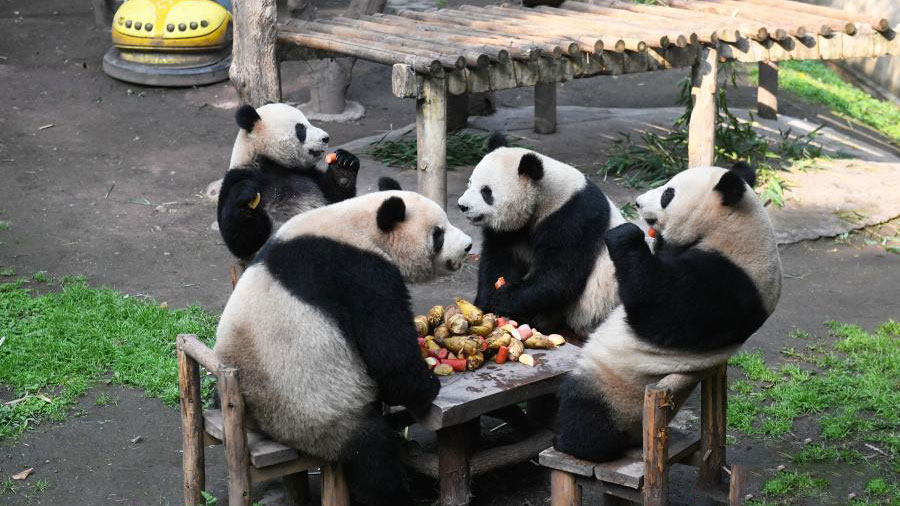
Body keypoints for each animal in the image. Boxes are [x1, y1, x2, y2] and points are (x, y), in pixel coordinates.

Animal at [214, 181, 474, 506]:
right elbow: (388, 353)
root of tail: (260, 425)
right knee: (372, 455)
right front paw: (427, 385)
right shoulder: (361, 273)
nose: (468, 245)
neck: (358, 225)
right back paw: (397, 494)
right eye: (438, 233)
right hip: (319, 415)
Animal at [218, 103, 362, 260]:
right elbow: (243, 242)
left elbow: (337, 200)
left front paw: (344, 166)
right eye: (301, 128)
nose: (326, 138)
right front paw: (244, 194)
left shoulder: (309, 174)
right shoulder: (238, 177)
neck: (273, 164)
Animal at [458, 134, 624, 336]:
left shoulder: (575, 217)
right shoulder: (510, 231)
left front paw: (502, 299)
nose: (462, 206)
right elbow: (498, 259)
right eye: (470, 183)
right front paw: (485, 302)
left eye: (486, 192)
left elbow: (557, 275)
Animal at [552, 163, 784, 462]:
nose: (638, 202)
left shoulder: (730, 282)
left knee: (587, 413)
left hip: (619, 392)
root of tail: (636, 437)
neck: (733, 227)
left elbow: (659, 310)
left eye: (668, 194)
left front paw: (625, 234)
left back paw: (572, 441)